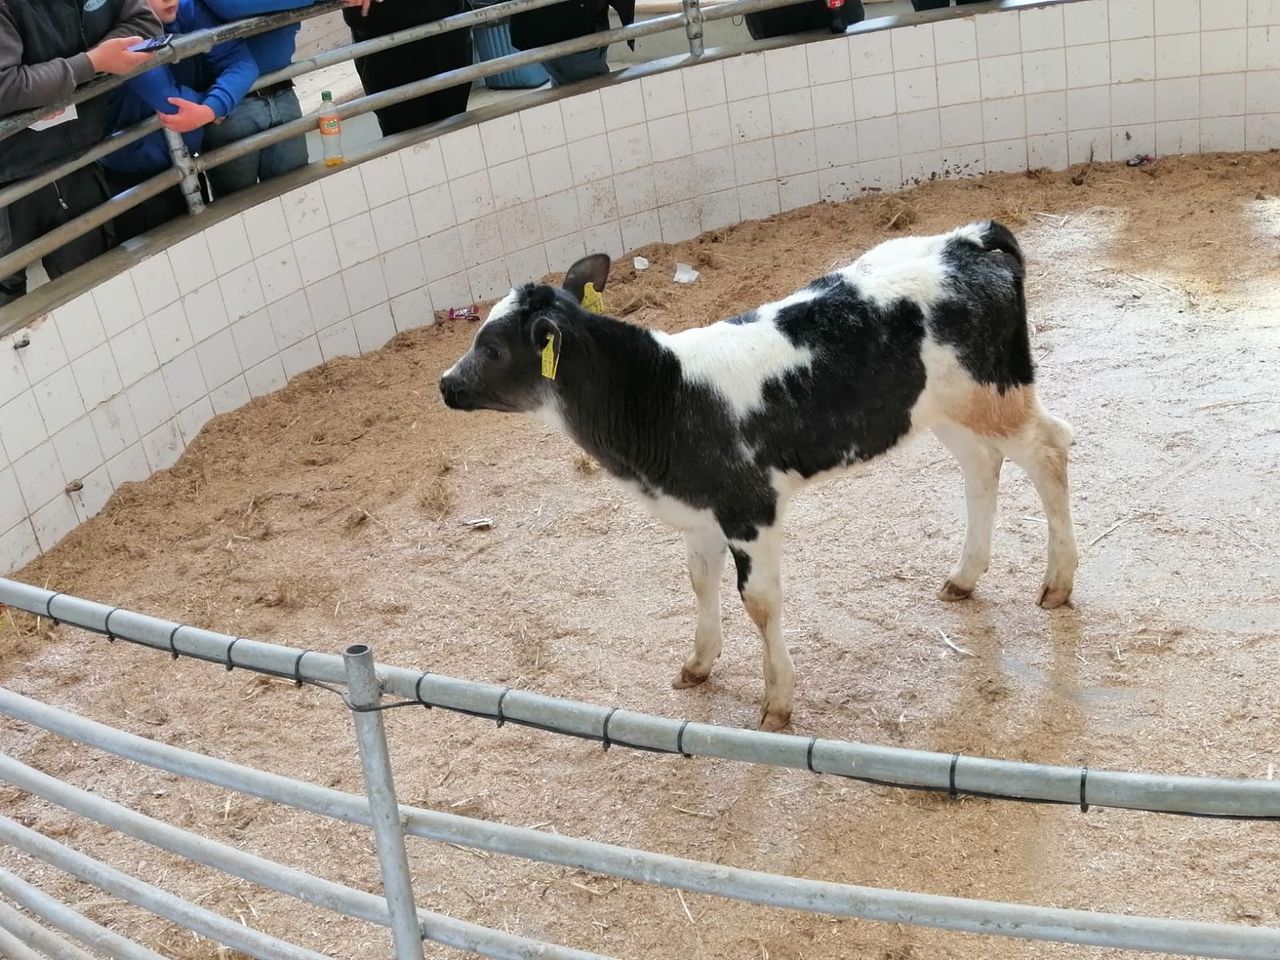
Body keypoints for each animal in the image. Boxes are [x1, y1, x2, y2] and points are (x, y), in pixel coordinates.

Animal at [440, 221, 1078, 731]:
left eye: (492, 349)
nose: (445, 384)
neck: (664, 393)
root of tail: (969, 239)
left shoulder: (750, 509)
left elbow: (761, 602)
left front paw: (776, 702)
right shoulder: (700, 513)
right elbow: (700, 582)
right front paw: (698, 663)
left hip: (996, 391)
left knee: (1050, 448)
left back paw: (1057, 584)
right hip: (944, 408)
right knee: (981, 466)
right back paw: (965, 576)